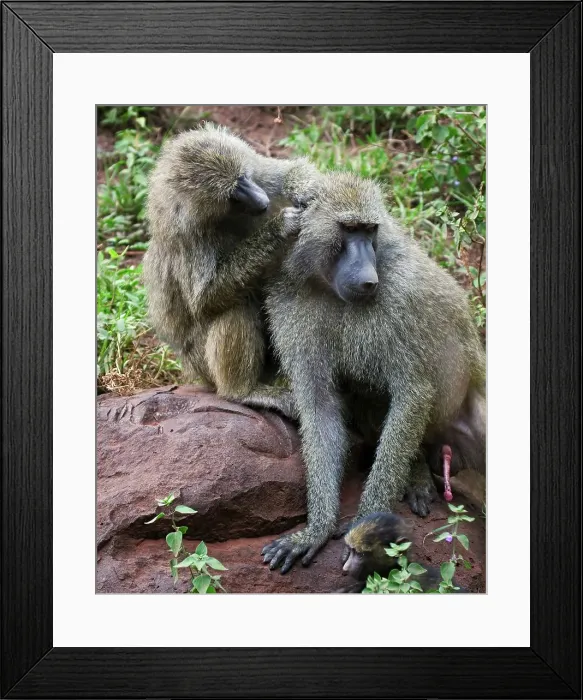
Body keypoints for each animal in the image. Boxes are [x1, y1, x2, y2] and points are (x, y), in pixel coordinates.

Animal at [142, 123, 321, 406]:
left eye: (244, 178)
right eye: (232, 196)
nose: (262, 200)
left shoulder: (257, 173)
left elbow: (286, 171)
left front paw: (307, 192)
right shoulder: (190, 240)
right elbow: (205, 299)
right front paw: (281, 226)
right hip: (204, 367)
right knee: (236, 307)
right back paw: (243, 392)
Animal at [244, 172, 486, 574]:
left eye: (370, 230)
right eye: (349, 229)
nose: (369, 279)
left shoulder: (401, 297)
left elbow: (412, 394)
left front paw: (365, 526)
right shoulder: (289, 300)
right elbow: (320, 406)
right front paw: (316, 530)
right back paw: (418, 472)